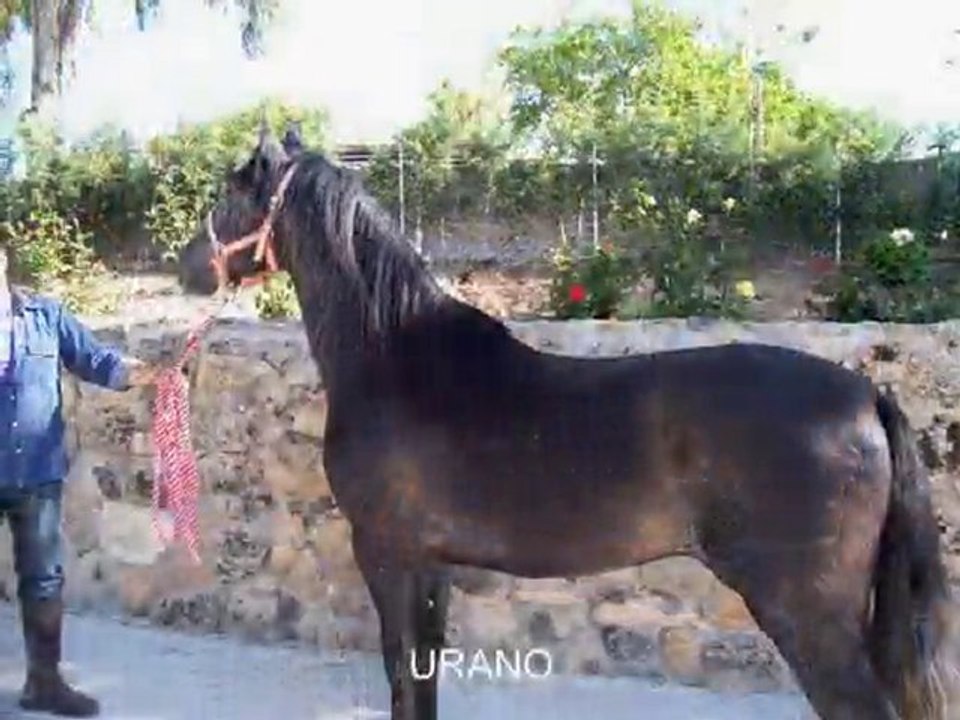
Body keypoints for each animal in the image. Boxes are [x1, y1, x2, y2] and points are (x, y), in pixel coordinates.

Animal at [176, 124, 955, 720]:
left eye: (230, 190)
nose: (187, 266)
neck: (392, 352)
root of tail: (865, 395)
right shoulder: (431, 563)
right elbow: (423, 680)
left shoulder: (387, 553)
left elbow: (404, 678)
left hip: (807, 612)